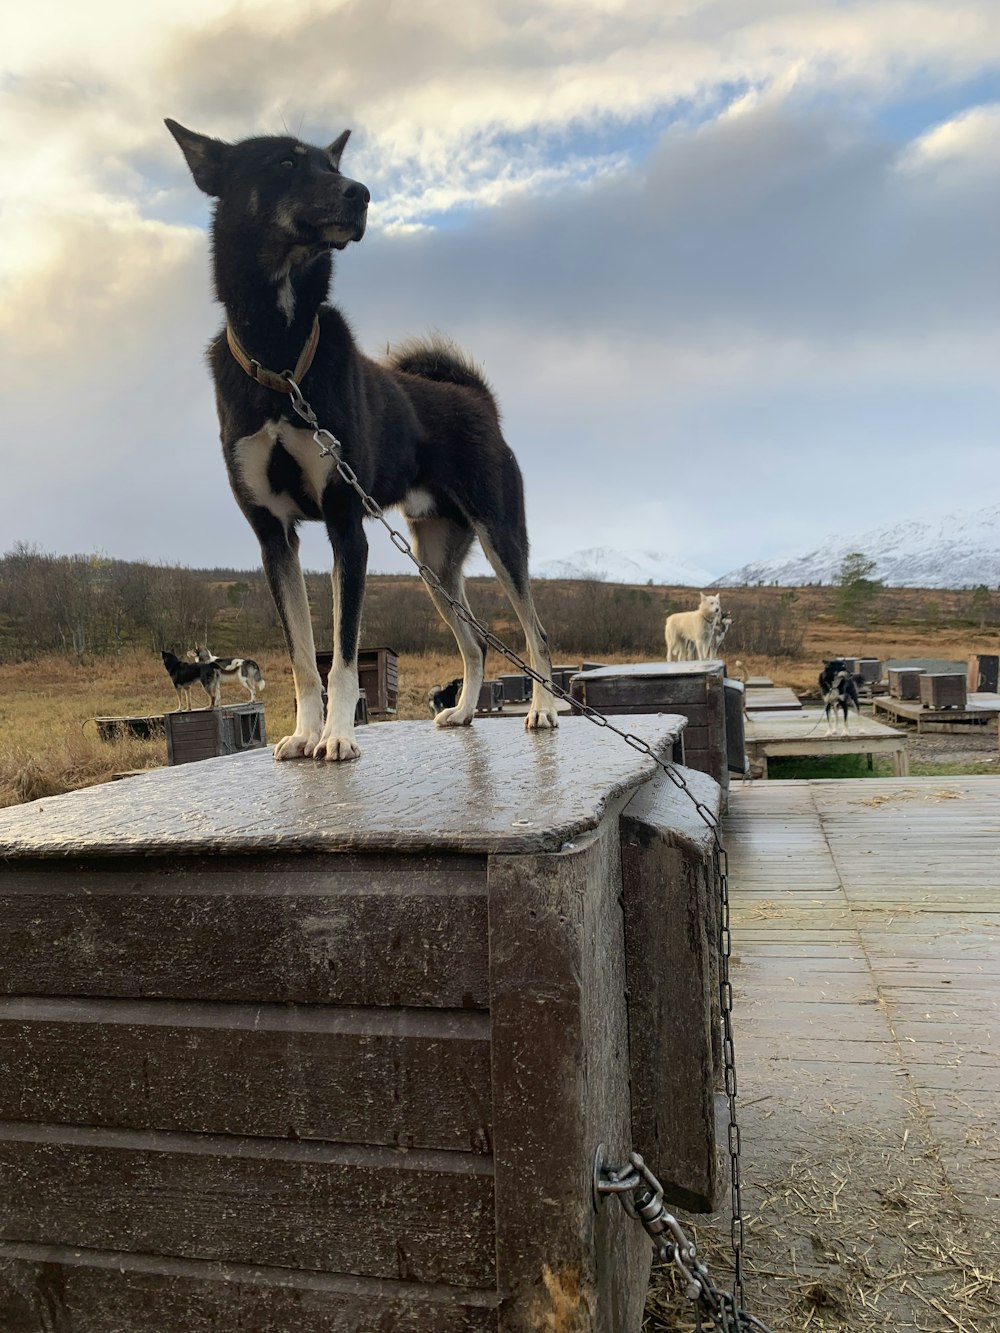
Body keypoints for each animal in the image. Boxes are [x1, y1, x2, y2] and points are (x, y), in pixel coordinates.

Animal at [163, 119, 557, 767]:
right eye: (286, 163)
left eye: (332, 164)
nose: (362, 193)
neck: (282, 362)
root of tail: (478, 401)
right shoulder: (275, 538)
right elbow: (303, 660)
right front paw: (304, 732)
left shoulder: (346, 526)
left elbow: (343, 658)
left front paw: (339, 735)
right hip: (433, 565)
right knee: (474, 644)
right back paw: (465, 712)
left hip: (500, 535)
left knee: (535, 630)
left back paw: (544, 709)